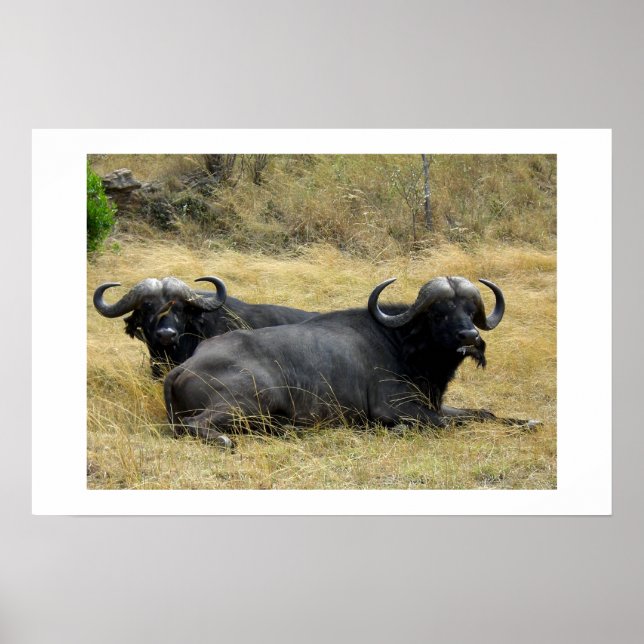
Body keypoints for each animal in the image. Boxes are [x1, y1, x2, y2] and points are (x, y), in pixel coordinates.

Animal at [164, 276, 538, 447]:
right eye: (440, 313)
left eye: (469, 310)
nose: (470, 336)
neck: (403, 347)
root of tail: (183, 368)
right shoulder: (394, 409)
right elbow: (445, 424)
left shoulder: (435, 404)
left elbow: (483, 414)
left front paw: (527, 421)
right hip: (251, 400)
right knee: (195, 424)